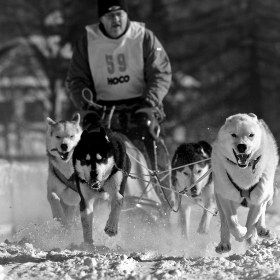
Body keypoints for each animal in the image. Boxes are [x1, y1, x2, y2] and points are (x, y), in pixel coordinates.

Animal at [212, 112, 278, 253]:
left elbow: (251, 224)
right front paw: (240, 232)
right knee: (224, 222)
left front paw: (249, 236)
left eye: (251, 135)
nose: (242, 146)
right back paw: (224, 244)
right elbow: (232, 223)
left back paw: (261, 230)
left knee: (261, 214)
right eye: (234, 134)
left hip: (265, 193)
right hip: (220, 197)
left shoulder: (258, 200)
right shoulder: (226, 198)